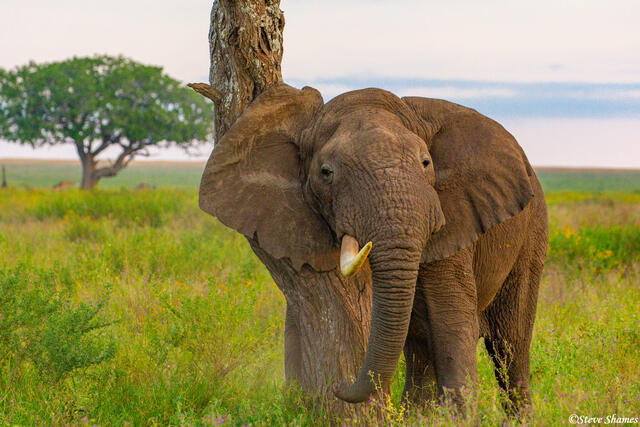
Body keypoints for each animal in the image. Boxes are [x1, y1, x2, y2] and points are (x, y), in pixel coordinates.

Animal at [197, 82, 548, 413]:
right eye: (326, 173)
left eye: (426, 163)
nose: (338, 386)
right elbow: (297, 323)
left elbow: (452, 325)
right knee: (422, 351)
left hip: (534, 232)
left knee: (510, 344)